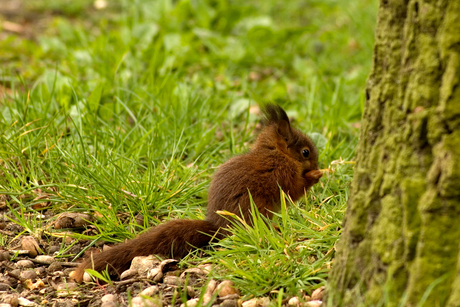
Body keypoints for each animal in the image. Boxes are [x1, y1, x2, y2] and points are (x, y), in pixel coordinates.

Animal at [73, 104, 324, 282]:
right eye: (305, 152)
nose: (317, 163)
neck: (276, 154)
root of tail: (217, 226)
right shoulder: (283, 173)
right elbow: (294, 189)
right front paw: (316, 175)